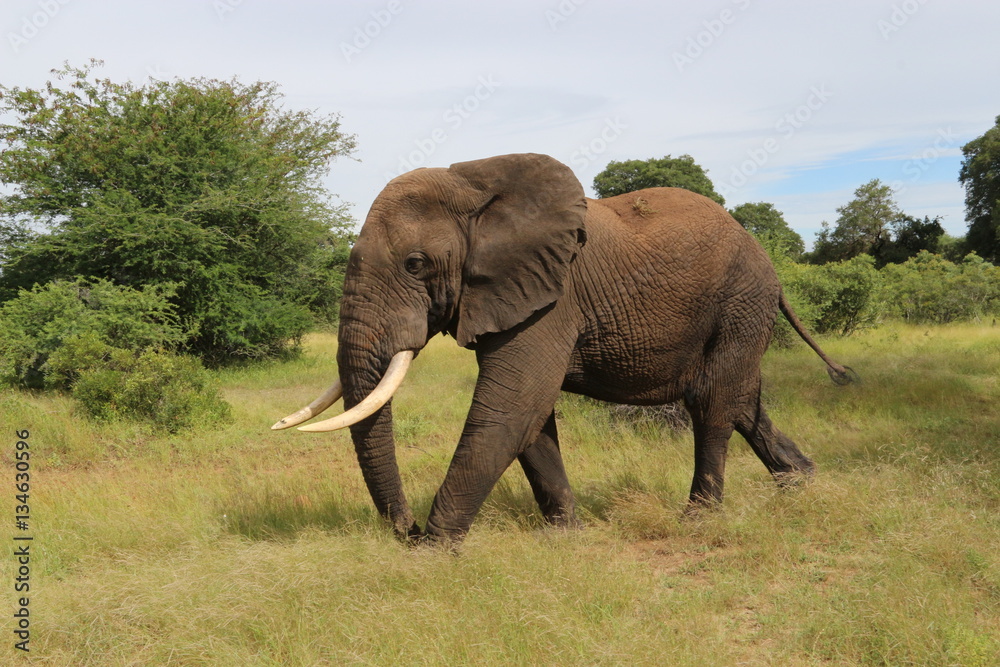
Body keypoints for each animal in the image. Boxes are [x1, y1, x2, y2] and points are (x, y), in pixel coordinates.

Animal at [272, 153, 853, 545]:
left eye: (415, 265)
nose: (407, 529)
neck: (475, 183)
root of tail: (766, 259)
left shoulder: (553, 294)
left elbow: (511, 405)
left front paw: (434, 551)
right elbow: (530, 416)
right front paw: (566, 536)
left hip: (740, 299)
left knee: (711, 402)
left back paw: (698, 519)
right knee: (742, 401)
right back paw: (801, 486)